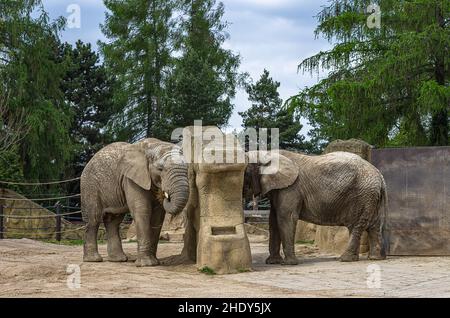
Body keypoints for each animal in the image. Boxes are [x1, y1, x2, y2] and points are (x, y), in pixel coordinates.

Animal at [244, 150, 388, 264]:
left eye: (245, 174)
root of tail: (380, 175)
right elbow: (273, 220)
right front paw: (273, 262)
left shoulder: (291, 188)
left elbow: (286, 217)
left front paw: (289, 264)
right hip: (371, 197)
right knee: (374, 226)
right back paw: (375, 258)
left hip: (363, 195)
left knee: (356, 226)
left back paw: (345, 259)